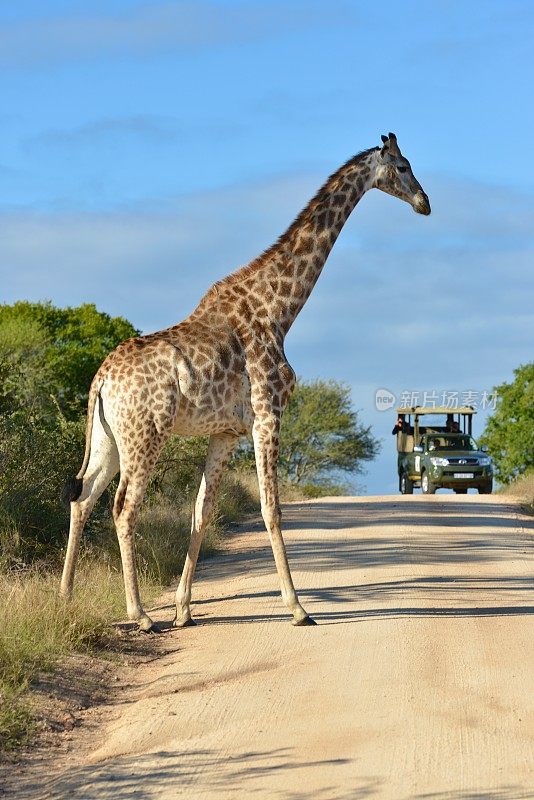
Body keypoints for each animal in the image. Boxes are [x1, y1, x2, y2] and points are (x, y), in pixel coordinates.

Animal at [60, 131, 434, 632]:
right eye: (404, 166)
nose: (425, 203)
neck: (279, 310)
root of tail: (99, 380)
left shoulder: (225, 432)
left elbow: (202, 511)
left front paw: (184, 610)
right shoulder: (266, 416)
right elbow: (270, 509)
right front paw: (297, 608)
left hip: (108, 438)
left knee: (82, 498)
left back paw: (66, 598)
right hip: (145, 435)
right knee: (122, 508)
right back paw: (139, 614)